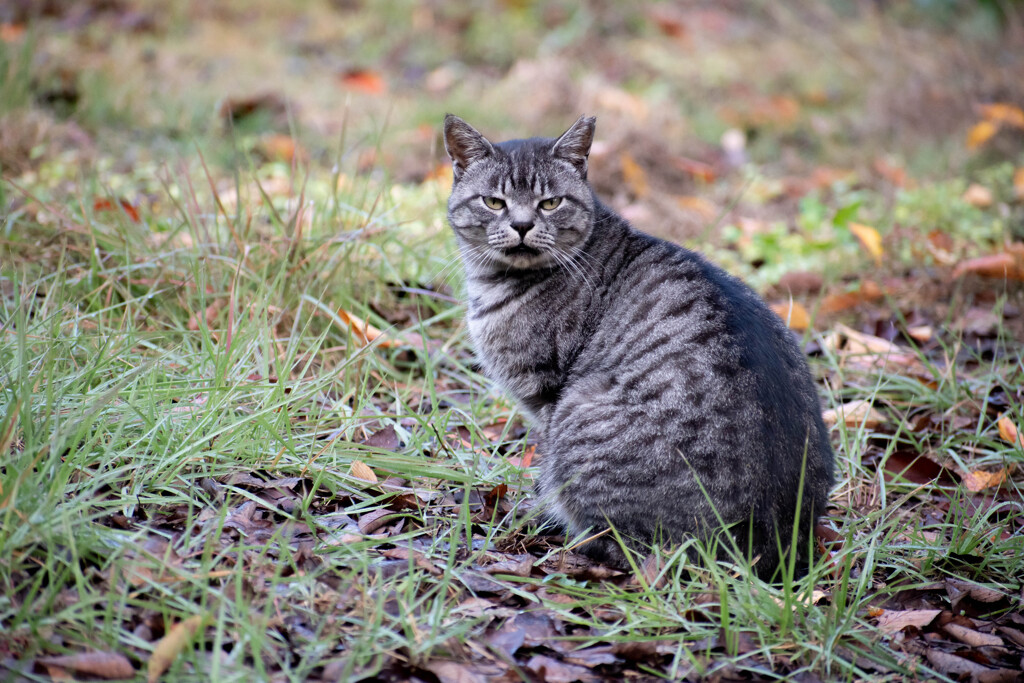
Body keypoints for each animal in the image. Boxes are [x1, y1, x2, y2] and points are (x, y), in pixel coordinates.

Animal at [444, 113, 835, 577]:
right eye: (494, 202)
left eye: (551, 204)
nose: (522, 226)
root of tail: (772, 548)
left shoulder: (547, 394)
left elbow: (544, 469)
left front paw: (535, 504)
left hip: (579, 411)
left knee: (627, 546)